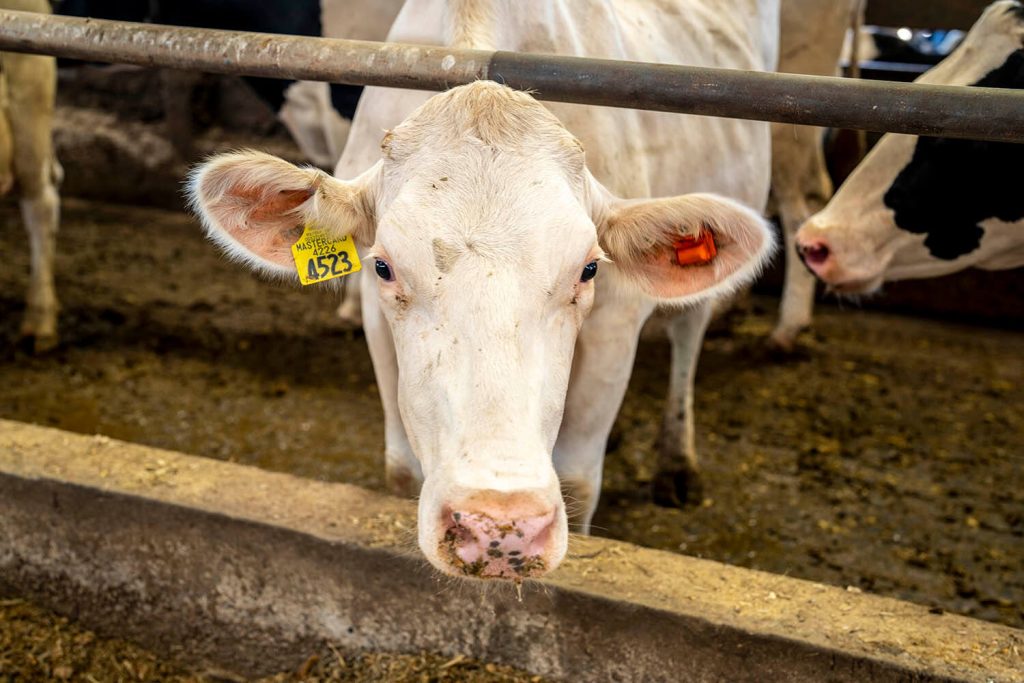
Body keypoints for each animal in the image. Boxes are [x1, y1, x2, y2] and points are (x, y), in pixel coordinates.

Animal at [189, 0, 780, 580]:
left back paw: (677, 462)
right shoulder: (378, 326)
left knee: (689, 331)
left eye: (589, 269)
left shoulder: (616, 322)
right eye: (382, 267)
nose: (501, 526)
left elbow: (580, 480)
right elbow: (401, 471)